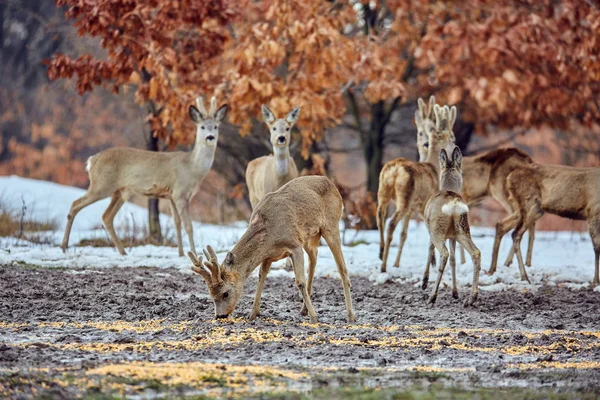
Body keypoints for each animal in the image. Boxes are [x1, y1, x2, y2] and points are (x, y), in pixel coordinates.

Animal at [61, 95, 229, 255]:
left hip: (119, 192)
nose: (210, 137)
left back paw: (123, 252)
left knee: (106, 216)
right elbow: (188, 225)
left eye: (215, 126)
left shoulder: (171, 195)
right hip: (101, 185)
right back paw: (64, 247)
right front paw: (194, 254)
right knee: (76, 204)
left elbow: (177, 223)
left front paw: (181, 253)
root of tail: (92, 160)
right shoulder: (180, 193)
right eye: (202, 127)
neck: (192, 167)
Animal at [188, 177, 356, 324]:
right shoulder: (268, 256)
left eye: (225, 293)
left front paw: (314, 318)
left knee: (342, 269)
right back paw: (304, 310)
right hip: (310, 237)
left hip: (331, 226)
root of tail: (332, 184)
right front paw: (252, 313)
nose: (220, 316)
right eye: (211, 294)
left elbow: (299, 282)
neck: (270, 234)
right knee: (314, 258)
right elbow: (261, 277)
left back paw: (350, 316)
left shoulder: (294, 245)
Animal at [378, 104, 458, 272]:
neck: (433, 166)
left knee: (380, 216)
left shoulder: (415, 208)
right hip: (405, 197)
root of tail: (395, 170)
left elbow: (405, 233)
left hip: (383, 190)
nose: (456, 146)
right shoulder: (424, 205)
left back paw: (381, 253)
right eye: (452, 136)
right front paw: (433, 262)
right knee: (391, 223)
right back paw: (383, 265)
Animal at [422, 147, 482, 306]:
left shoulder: (429, 228)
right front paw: (455, 293)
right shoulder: (452, 236)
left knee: (444, 253)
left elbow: (429, 249)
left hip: (437, 229)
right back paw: (471, 298)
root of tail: (454, 204)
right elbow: (454, 261)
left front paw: (424, 282)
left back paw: (432, 296)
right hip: (462, 230)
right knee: (475, 252)